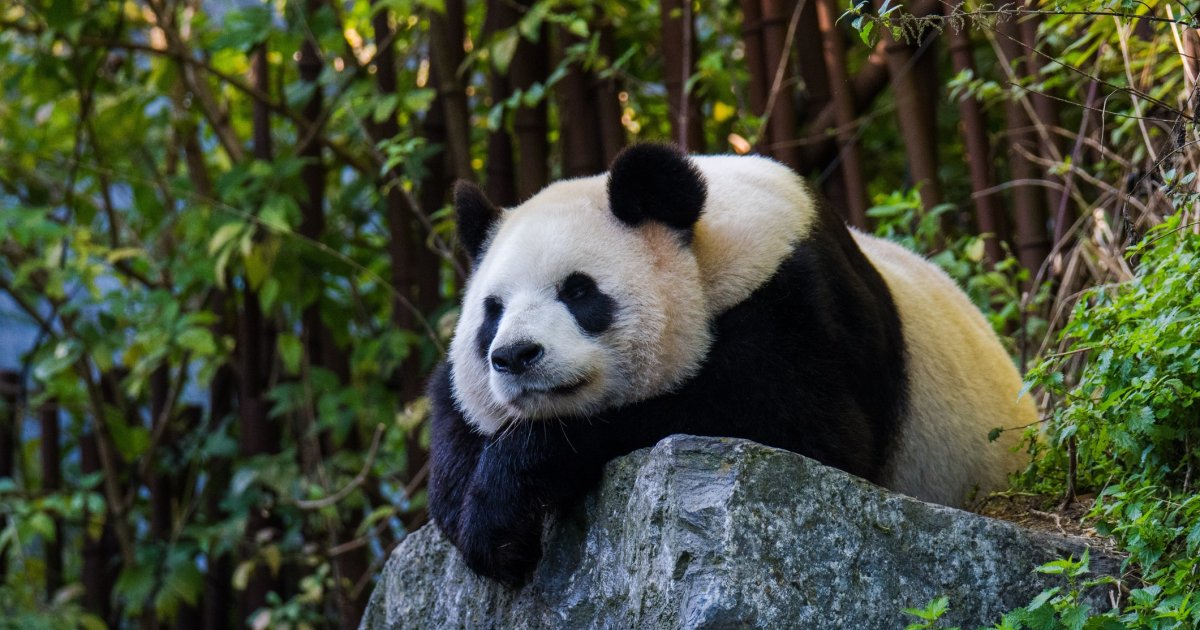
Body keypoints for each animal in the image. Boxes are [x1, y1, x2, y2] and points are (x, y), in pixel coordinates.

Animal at [427, 143, 1036, 586]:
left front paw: (508, 495)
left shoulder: (801, 301)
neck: (707, 249)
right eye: (492, 310)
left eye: (578, 291)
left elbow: (787, 425)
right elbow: (453, 412)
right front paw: (482, 519)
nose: (514, 356)